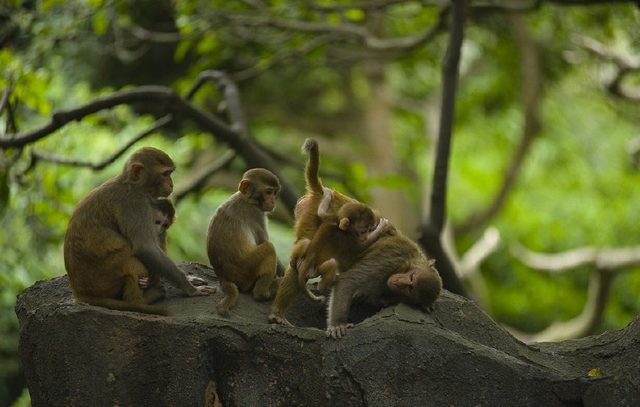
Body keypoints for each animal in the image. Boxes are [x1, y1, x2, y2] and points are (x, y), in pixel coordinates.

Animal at [63, 147, 216, 316]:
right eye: (165, 174)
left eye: (170, 173)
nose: (171, 184)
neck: (131, 185)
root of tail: (80, 294)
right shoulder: (135, 204)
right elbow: (145, 248)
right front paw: (191, 289)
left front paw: (190, 279)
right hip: (102, 280)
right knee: (129, 259)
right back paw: (143, 299)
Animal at [206, 167, 284, 318]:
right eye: (268, 192)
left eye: (274, 193)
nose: (273, 202)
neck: (246, 199)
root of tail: (223, 277)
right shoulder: (257, 214)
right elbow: (264, 241)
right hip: (247, 270)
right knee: (269, 248)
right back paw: (263, 293)